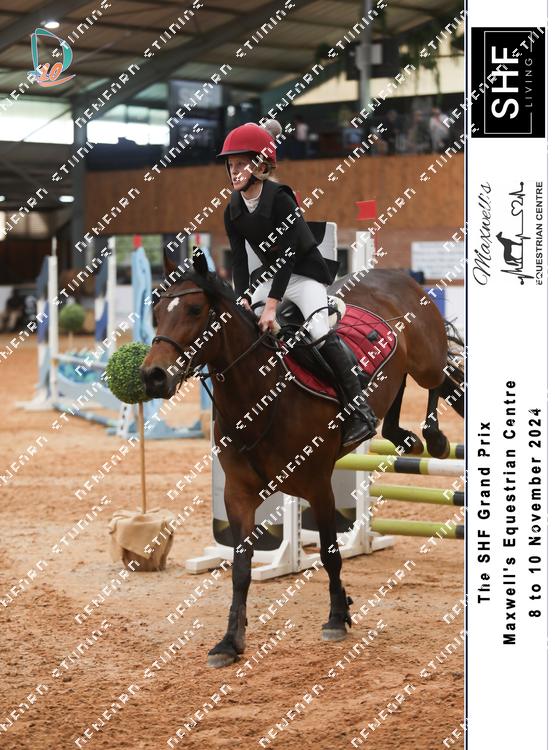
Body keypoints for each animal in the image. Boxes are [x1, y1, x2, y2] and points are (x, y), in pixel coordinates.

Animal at [141, 251, 464, 668]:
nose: (153, 376)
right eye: (156, 311)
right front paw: (230, 641)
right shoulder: (238, 495)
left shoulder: (318, 486)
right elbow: (241, 568)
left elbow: (329, 553)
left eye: (196, 309)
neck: (260, 396)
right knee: (406, 393)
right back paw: (404, 436)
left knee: (444, 378)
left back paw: (436, 437)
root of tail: (397, 276)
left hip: (426, 361)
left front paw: (338, 618)